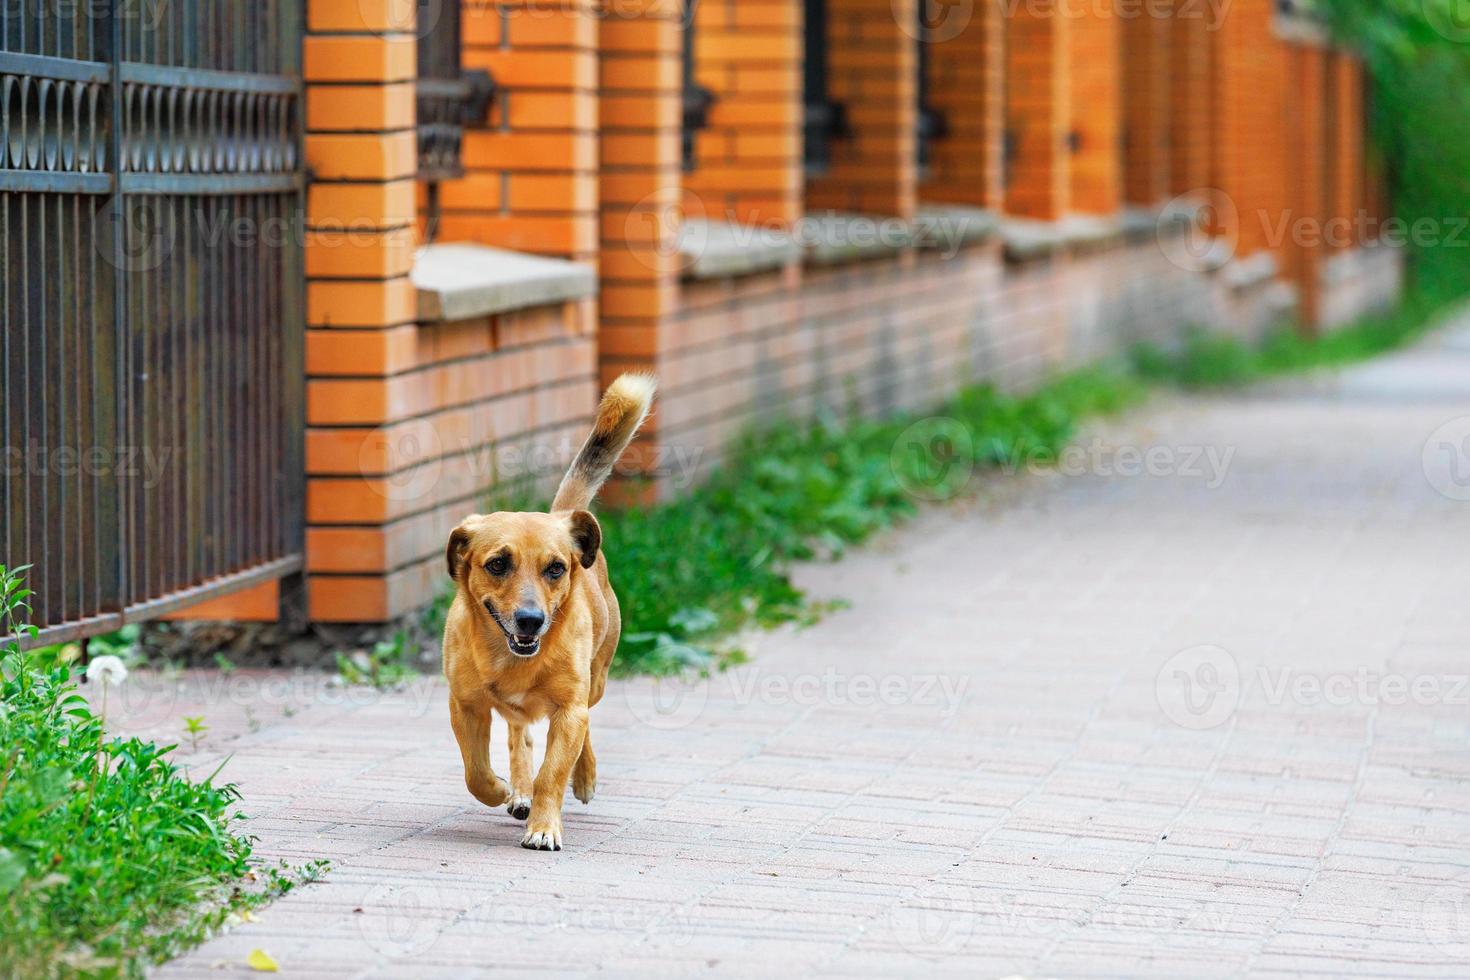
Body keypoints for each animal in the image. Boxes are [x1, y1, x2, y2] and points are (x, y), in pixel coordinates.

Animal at [438, 371, 652, 846]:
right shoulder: (466, 706)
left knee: (582, 728)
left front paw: (543, 826)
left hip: (597, 679)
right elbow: (475, 772)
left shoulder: (569, 708)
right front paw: (503, 790)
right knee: (520, 739)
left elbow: (554, 771)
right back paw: (519, 789)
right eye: (497, 563)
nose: (531, 621)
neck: (511, 659)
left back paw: (582, 777)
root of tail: (563, 515)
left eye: (555, 568)